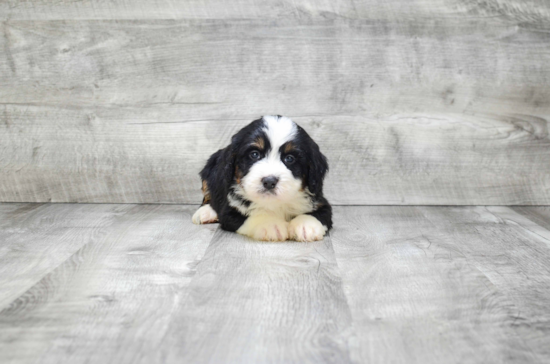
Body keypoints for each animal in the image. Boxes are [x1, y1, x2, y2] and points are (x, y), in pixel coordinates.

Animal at [193, 115, 332, 242]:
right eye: (254, 154)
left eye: (290, 158)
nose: (269, 182)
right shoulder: (230, 210)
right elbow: (250, 216)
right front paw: (270, 224)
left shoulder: (320, 201)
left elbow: (319, 214)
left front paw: (305, 225)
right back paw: (205, 212)